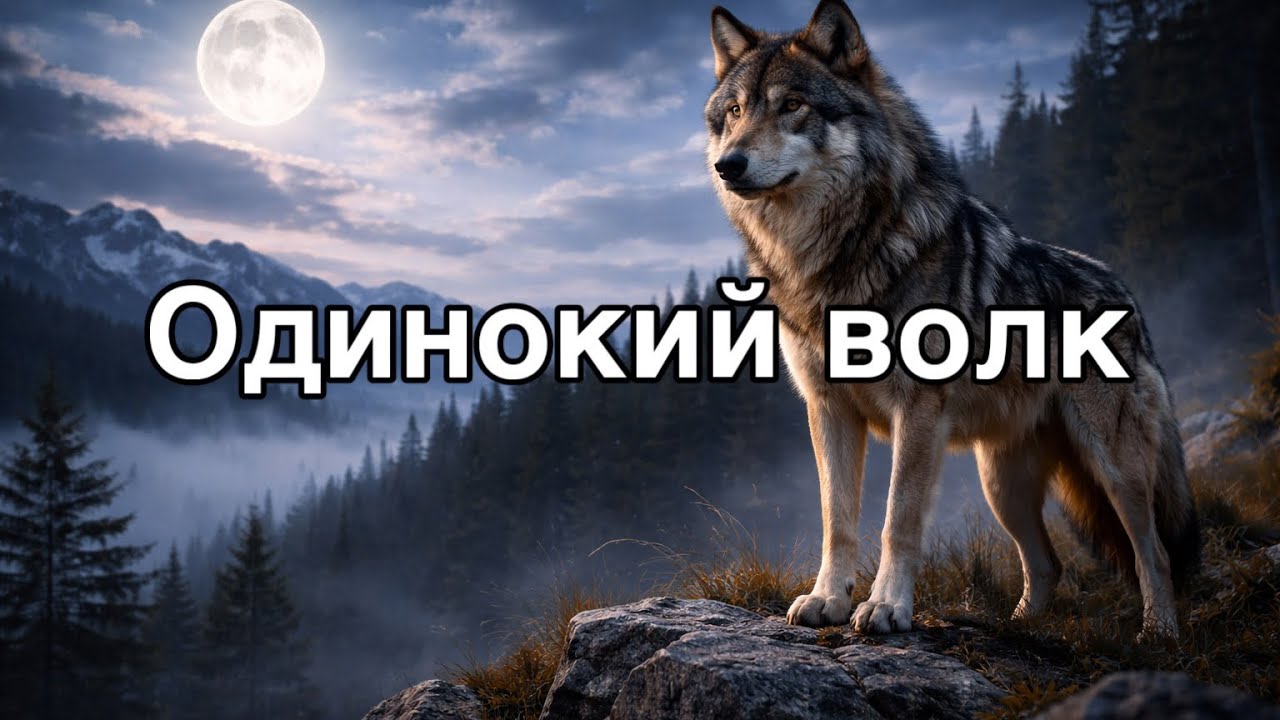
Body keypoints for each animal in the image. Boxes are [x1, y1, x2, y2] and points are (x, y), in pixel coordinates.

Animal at [704, 0, 1199, 639]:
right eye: (736, 112)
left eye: (792, 105)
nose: (728, 164)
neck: (832, 257)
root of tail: (1127, 292)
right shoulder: (828, 408)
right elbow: (837, 519)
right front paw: (826, 600)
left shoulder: (917, 412)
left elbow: (898, 519)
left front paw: (886, 608)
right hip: (1002, 486)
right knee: (1048, 563)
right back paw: (1019, 627)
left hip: (1115, 471)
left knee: (1152, 551)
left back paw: (1158, 632)